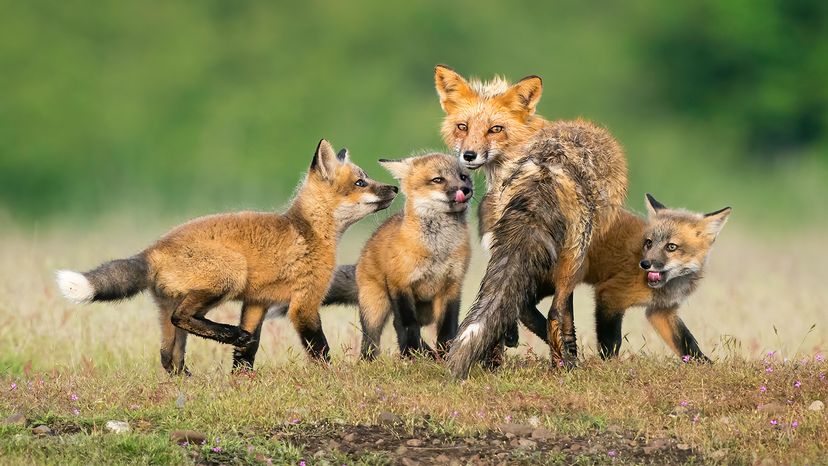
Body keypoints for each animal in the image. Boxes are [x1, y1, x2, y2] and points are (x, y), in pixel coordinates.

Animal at [55, 139, 398, 374]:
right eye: (361, 182)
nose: (394, 188)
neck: (307, 231)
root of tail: (152, 250)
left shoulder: (257, 302)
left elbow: (249, 352)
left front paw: (241, 379)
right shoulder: (305, 303)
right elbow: (320, 350)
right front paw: (332, 377)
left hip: (173, 309)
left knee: (169, 356)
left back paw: (191, 378)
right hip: (228, 276)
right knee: (182, 318)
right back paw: (230, 335)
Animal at [269, 152, 473, 360]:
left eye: (463, 177)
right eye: (438, 180)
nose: (466, 190)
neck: (437, 250)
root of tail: (360, 263)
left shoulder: (452, 286)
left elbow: (448, 328)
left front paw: (445, 355)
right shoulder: (400, 285)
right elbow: (407, 325)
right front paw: (411, 355)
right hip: (376, 309)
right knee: (374, 340)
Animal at [433, 65, 628, 377]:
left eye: (495, 129)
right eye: (463, 127)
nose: (469, 155)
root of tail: (544, 168)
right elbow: (562, 316)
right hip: (575, 255)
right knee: (555, 314)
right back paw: (565, 365)